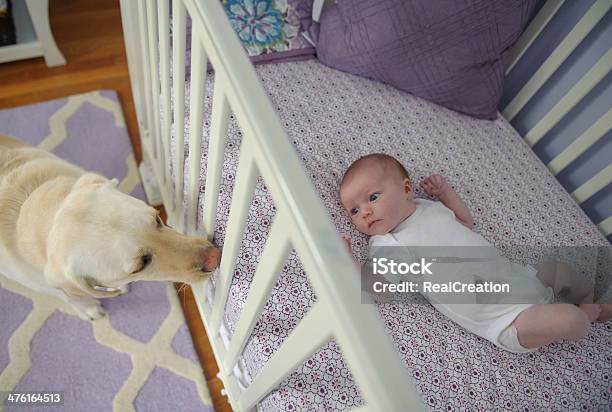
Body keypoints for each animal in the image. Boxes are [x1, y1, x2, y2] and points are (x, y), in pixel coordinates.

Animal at [0, 134, 220, 320]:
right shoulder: (47, 284)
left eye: (157, 218)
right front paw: (89, 308)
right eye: (141, 264)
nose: (214, 257)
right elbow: (70, 295)